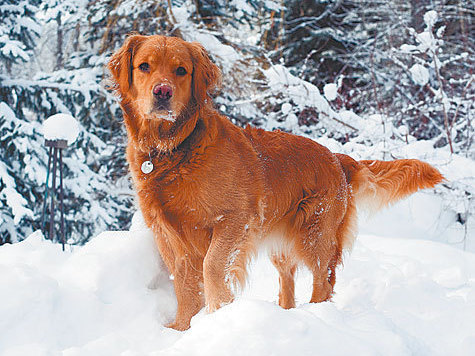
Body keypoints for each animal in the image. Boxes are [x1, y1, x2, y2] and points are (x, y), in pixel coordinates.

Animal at [107, 34, 442, 330]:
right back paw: (286, 313)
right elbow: (184, 283)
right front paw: (181, 328)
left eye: (181, 70)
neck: (172, 149)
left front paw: (217, 313)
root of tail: (335, 157)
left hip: (316, 234)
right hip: (282, 242)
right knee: (287, 281)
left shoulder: (235, 219)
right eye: (144, 66)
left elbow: (211, 267)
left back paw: (318, 314)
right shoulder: (166, 231)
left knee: (324, 280)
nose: (162, 92)